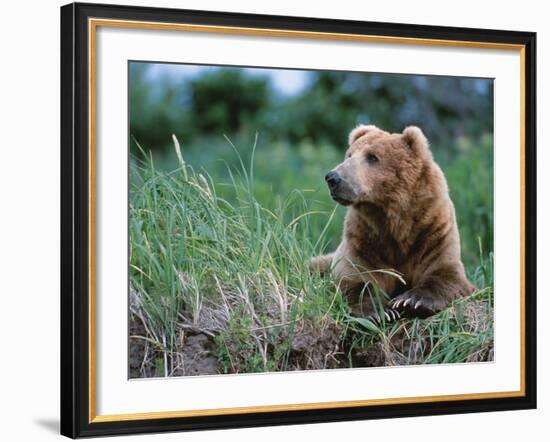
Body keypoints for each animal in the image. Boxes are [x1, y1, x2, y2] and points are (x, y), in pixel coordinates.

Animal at [312, 124, 476, 322]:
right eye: (349, 154)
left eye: (372, 157)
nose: (333, 178)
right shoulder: (363, 238)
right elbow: (354, 279)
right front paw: (382, 311)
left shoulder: (433, 230)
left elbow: (445, 273)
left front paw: (411, 301)